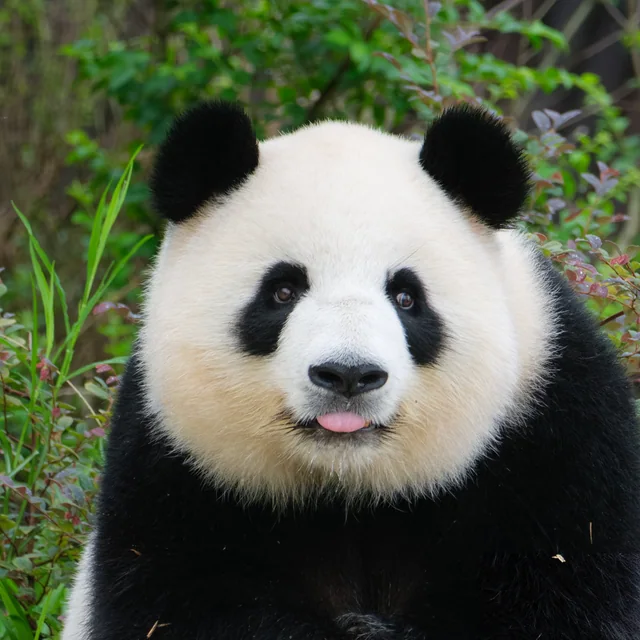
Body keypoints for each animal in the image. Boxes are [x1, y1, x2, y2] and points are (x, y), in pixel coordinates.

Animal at [62, 101, 640, 640]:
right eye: (282, 291)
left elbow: (568, 596)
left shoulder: (556, 431)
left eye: (406, 297)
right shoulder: (171, 463)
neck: (352, 488)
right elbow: (176, 603)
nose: (348, 375)